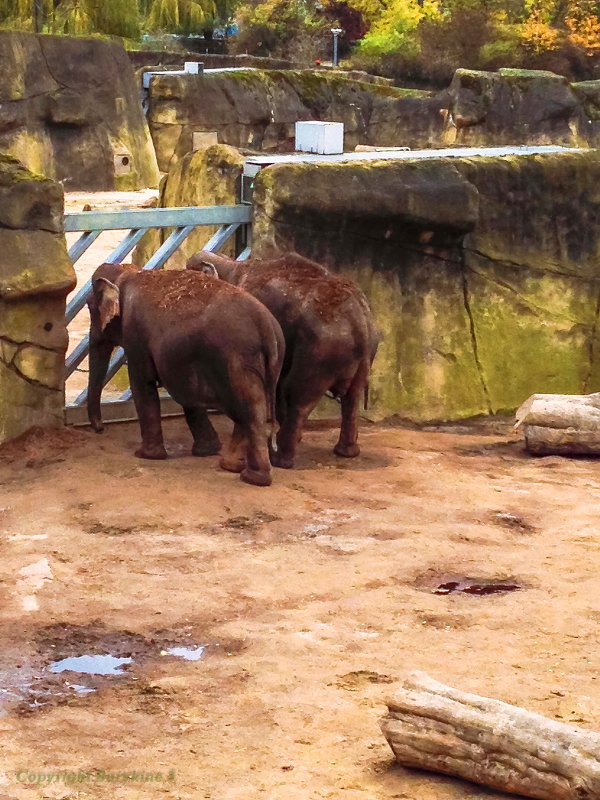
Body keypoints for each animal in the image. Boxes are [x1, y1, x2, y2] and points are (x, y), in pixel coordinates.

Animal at [85, 264, 288, 488]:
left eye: (89, 307)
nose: (100, 429)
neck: (128, 272)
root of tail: (267, 328)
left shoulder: (135, 333)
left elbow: (143, 383)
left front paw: (146, 455)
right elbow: (188, 394)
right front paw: (207, 450)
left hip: (237, 361)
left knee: (249, 411)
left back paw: (252, 477)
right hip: (268, 364)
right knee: (251, 409)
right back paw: (232, 466)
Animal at [188, 247, 378, 466]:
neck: (232, 264)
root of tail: (360, 323)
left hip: (320, 351)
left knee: (299, 398)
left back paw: (281, 459)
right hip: (359, 356)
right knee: (352, 398)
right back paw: (346, 452)